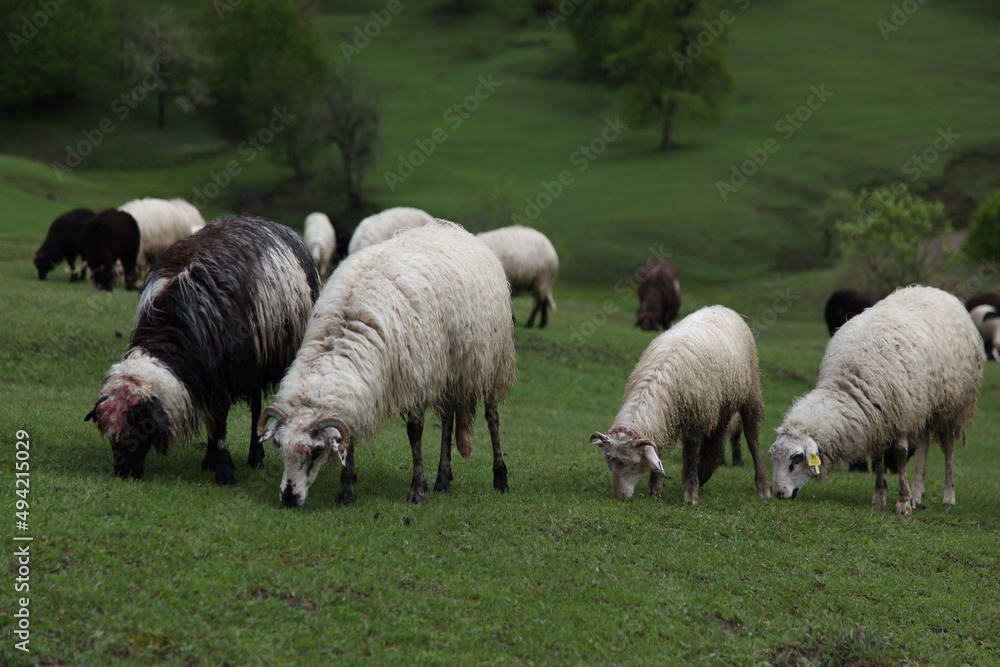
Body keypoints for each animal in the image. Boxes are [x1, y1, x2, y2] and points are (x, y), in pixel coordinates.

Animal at [85, 215, 321, 484]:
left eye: (142, 425)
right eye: (108, 433)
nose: (124, 473)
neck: (175, 324)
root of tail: (264, 221)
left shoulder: (226, 374)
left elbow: (219, 420)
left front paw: (225, 471)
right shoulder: (204, 375)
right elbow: (211, 419)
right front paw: (211, 459)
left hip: (259, 365)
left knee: (256, 409)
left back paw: (255, 456)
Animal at [257, 220, 516, 508]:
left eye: (317, 450)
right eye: (278, 445)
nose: (289, 498)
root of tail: (454, 229)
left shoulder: (416, 375)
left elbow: (415, 431)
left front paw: (417, 490)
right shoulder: (360, 390)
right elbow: (350, 434)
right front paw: (347, 490)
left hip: (492, 361)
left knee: (492, 418)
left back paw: (500, 478)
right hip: (449, 369)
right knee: (448, 418)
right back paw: (443, 478)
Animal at [589, 305, 770, 504]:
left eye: (635, 464)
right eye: (608, 461)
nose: (620, 496)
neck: (658, 379)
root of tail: (722, 308)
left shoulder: (696, 417)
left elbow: (691, 454)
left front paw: (690, 495)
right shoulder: (664, 418)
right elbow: (659, 450)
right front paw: (656, 488)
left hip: (750, 392)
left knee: (752, 439)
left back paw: (762, 487)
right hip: (719, 405)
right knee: (715, 441)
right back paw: (705, 473)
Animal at [769, 285, 984, 515]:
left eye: (796, 459)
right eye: (773, 456)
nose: (779, 494)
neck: (853, 381)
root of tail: (937, 291)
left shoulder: (899, 412)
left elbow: (900, 455)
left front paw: (903, 502)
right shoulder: (878, 416)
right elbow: (878, 455)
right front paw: (880, 496)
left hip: (954, 405)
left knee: (949, 447)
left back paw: (948, 496)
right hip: (924, 403)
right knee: (924, 443)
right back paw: (918, 494)